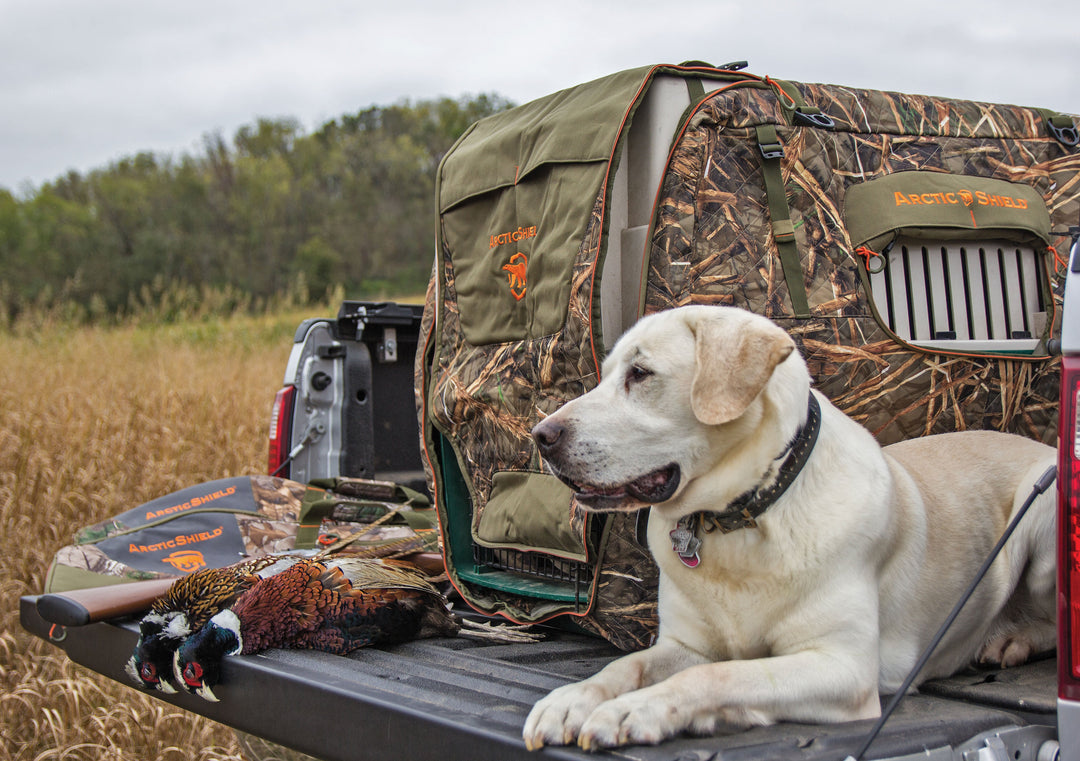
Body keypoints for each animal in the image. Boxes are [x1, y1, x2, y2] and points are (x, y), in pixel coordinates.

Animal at [522, 302, 1054, 746]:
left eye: (641, 373)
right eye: (607, 374)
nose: (540, 435)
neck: (741, 519)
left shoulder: (841, 668)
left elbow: (718, 675)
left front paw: (635, 711)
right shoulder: (686, 644)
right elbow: (625, 666)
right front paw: (570, 702)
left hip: (1040, 511)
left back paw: (1012, 638)